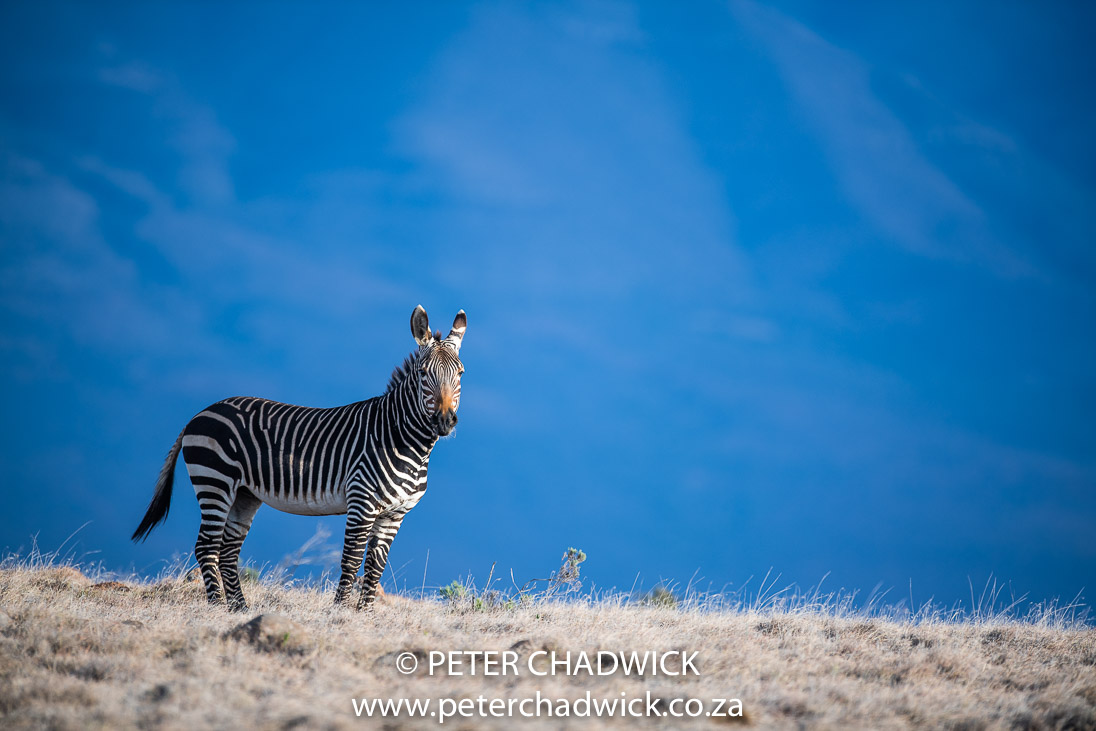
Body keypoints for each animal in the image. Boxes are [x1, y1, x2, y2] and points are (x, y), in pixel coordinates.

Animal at [132, 305, 466, 611]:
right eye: (423, 374)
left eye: (460, 373)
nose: (445, 421)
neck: (405, 442)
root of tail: (199, 414)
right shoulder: (362, 503)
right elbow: (351, 561)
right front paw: (340, 613)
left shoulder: (394, 515)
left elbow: (375, 567)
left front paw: (366, 614)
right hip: (215, 481)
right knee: (207, 547)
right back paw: (217, 607)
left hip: (244, 494)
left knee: (227, 551)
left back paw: (240, 608)